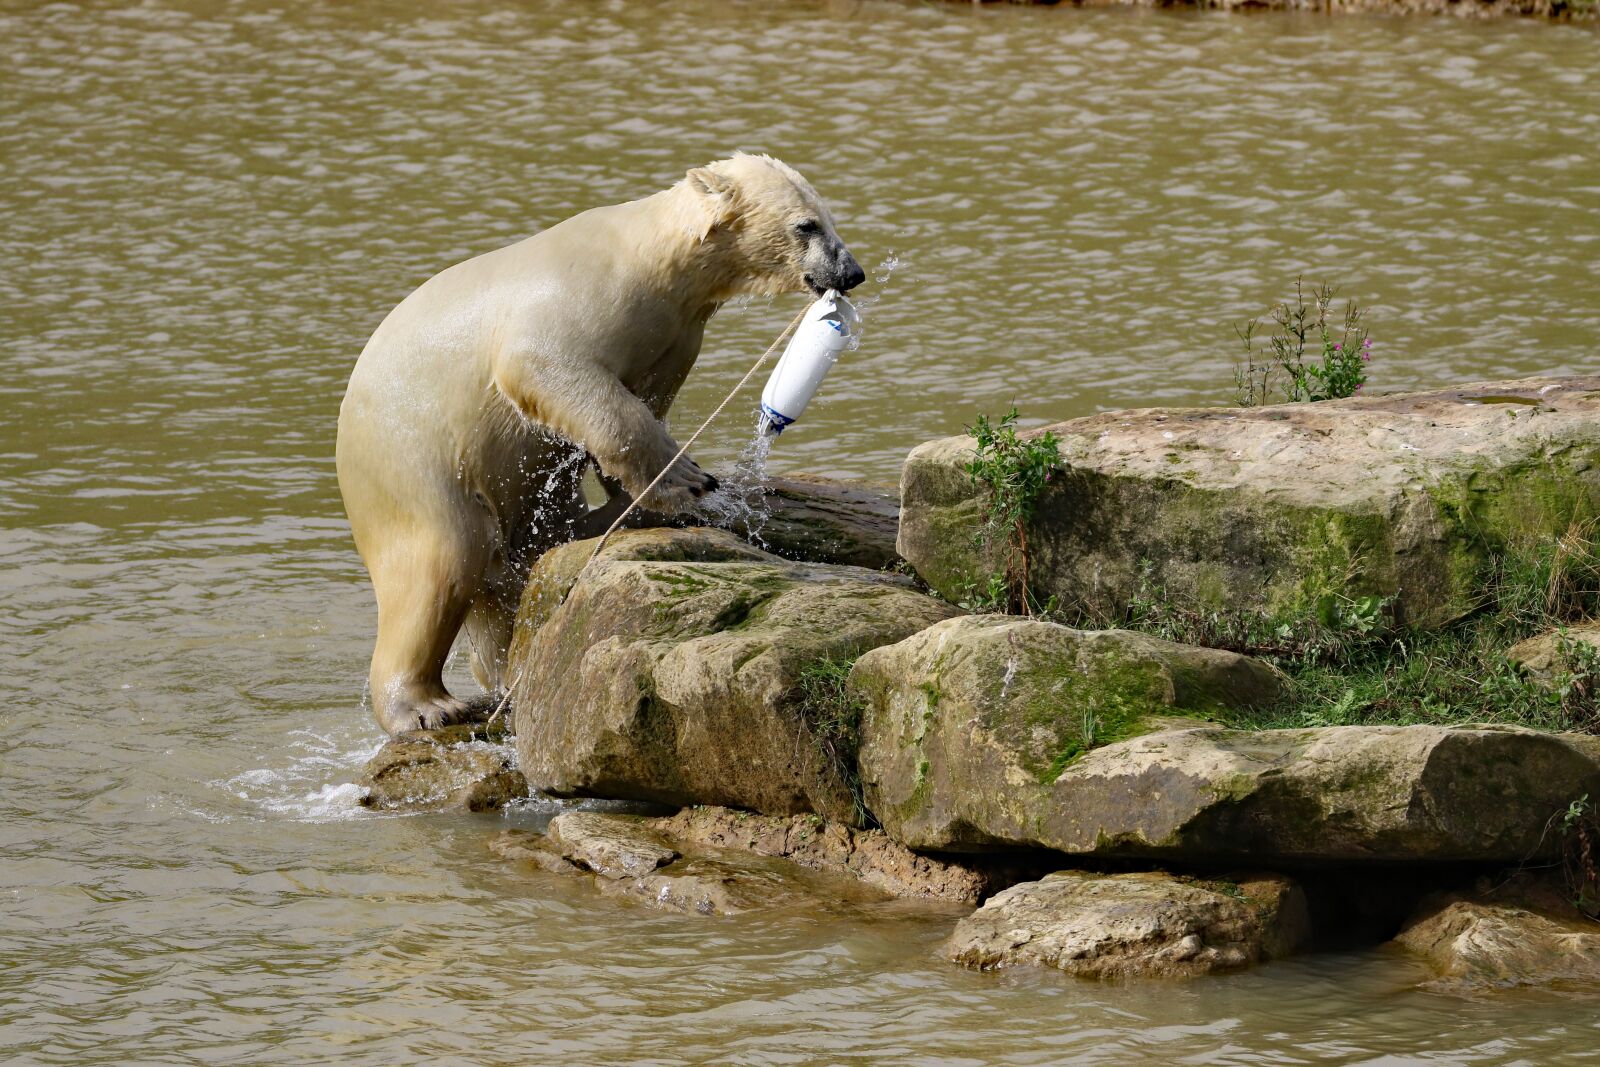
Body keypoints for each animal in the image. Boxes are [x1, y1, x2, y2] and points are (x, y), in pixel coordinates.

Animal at [336, 154, 865, 735]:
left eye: (829, 218)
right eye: (807, 226)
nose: (851, 272)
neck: (652, 258)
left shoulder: (674, 334)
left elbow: (645, 400)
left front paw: (653, 491)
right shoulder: (583, 298)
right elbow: (553, 370)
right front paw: (688, 483)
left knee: (517, 565)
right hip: (411, 464)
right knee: (441, 562)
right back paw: (429, 707)